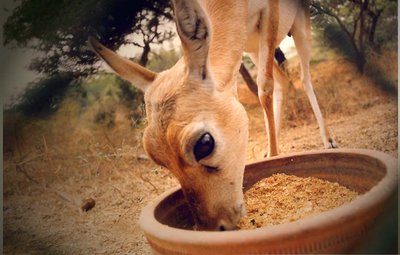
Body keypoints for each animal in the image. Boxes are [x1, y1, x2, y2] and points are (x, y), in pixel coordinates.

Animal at [88, 0, 338, 231]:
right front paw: (272, 156)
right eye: (155, 157)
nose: (214, 226)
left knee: (303, 77)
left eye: (204, 144)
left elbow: (264, 87)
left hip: (298, 31)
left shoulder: (270, 12)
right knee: (282, 80)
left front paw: (276, 158)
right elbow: (267, 86)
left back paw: (328, 141)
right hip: (254, 46)